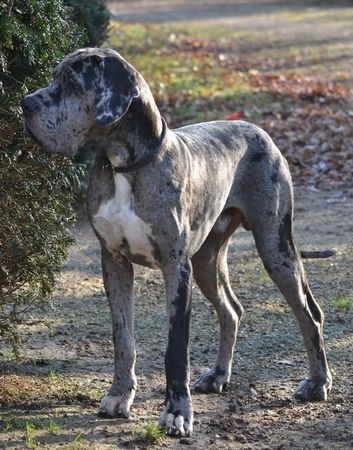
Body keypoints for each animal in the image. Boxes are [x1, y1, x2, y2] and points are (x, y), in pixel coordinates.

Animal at [21, 48, 330, 436]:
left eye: (73, 84)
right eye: (53, 77)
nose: (24, 103)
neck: (125, 166)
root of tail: (257, 128)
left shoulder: (175, 268)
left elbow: (175, 351)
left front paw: (177, 413)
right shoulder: (113, 261)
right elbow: (123, 338)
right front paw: (119, 396)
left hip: (275, 247)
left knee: (309, 313)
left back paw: (317, 383)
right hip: (206, 261)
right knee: (232, 309)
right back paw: (218, 375)